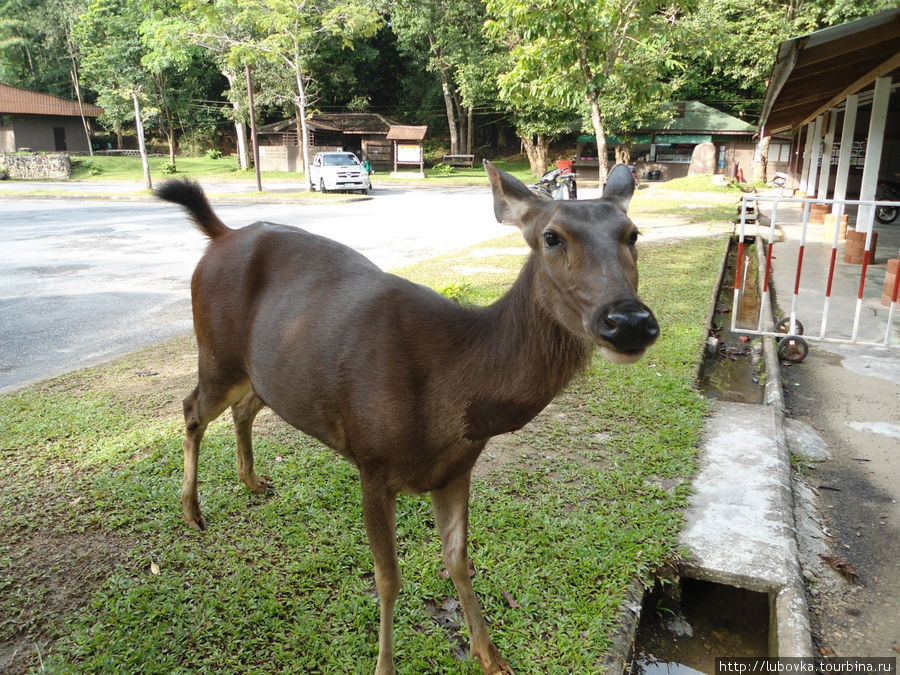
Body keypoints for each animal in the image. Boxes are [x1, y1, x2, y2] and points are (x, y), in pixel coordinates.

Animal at [155, 162, 660, 675]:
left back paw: (253, 481)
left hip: (264, 374)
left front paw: (491, 655)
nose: (628, 321)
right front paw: (384, 666)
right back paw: (192, 511)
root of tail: (220, 235)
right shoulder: (373, 463)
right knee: (191, 409)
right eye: (552, 237)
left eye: (632, 233)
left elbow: (457, 559)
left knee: (243, 408)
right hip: (216, 354)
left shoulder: (456, 469)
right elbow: (388, 578)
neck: (453, 396)